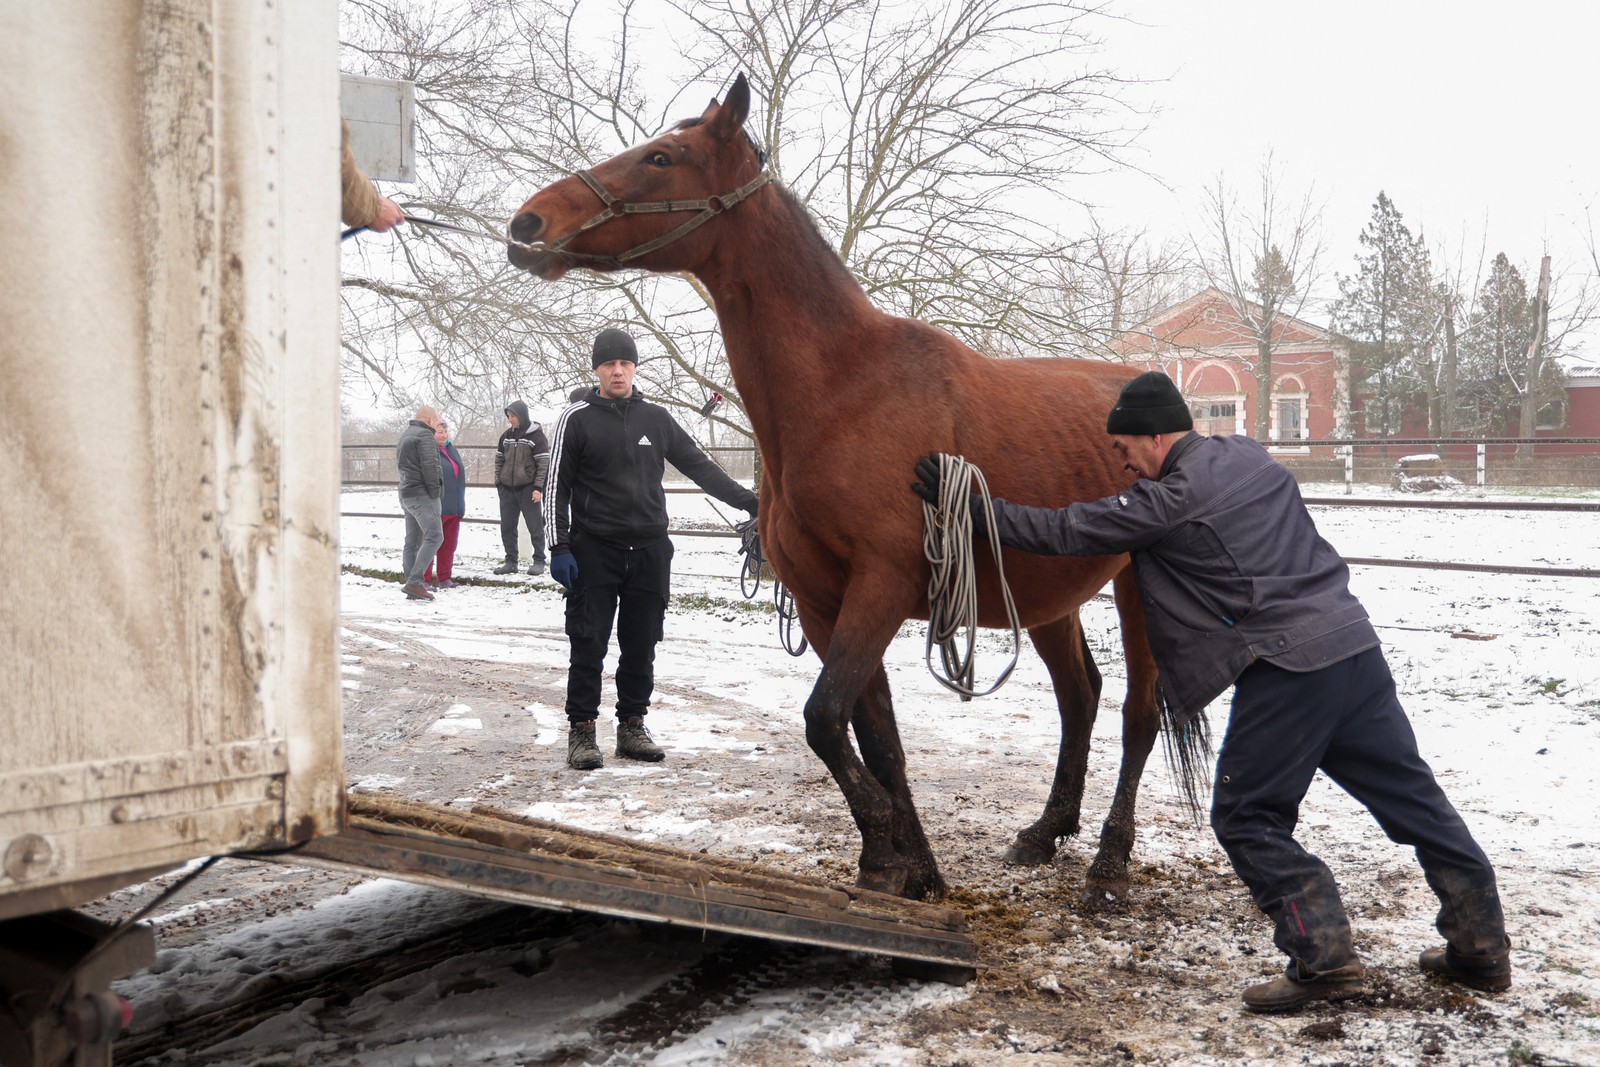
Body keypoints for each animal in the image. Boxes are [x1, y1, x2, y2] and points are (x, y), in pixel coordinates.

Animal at [506, 73, 1204, 903]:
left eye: (661, 157)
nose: (528, 223)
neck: (844, 391)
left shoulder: (880, 585)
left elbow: (824, 718)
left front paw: (889, 847)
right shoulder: (822, 599)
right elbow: (873, 734)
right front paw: (905, 864)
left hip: (1133, 590)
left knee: (1138, 712)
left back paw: (1109, 862)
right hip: (1044, 594)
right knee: (1081, 696)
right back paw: (1043, 832)